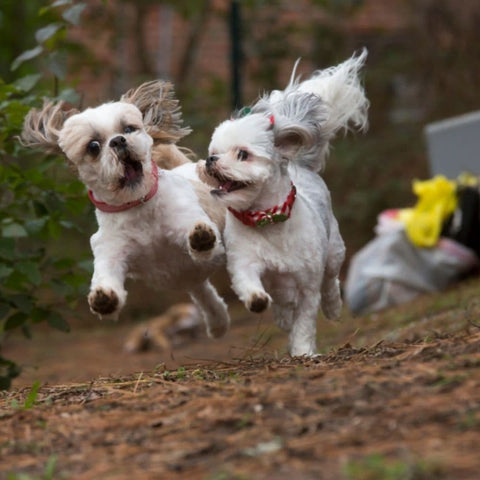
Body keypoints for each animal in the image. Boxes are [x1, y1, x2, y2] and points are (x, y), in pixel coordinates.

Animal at [22, 80, 231, 338]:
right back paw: (217, 322)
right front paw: (104, 300)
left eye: (129, 128)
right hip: (192, 279)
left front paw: (201, 237)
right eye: (93, 146)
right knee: (203, 293)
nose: (118, 141)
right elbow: (106, 275)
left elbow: (196, 231)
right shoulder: (110, 250)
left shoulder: (184, 215)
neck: (138, 205)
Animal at [202, 51, 368, 356]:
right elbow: (249, 284)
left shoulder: (308, 285)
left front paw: (303, 351)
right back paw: (280, 315)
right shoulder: (245, 262)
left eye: (242, 154)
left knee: (331, 281)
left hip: (334, 251)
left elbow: (305, 320)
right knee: (281, 304)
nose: (211, 160)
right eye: (213, 152)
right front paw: (257, 300)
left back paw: (333, 306)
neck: (268, 218)